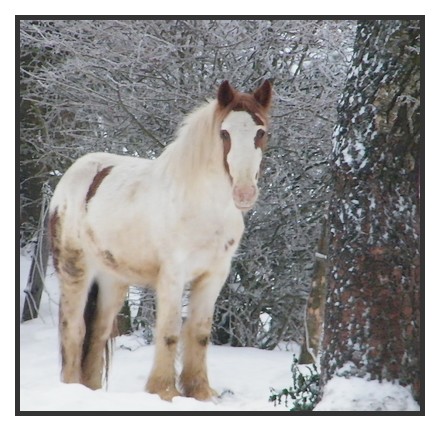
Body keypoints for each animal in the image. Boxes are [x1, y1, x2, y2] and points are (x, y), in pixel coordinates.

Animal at [50, 80, 272, 402]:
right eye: (224, 133)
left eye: (260, 132)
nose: (244, 192)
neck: (202, 204)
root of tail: (73, 175)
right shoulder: (172, 275)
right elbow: (169, 332)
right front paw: (165, 391)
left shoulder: (213, 276)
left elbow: (199, 333)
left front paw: (200, 392)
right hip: (74, 270)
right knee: (74, 331)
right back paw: (70, 390)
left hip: (111, 282)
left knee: (97, 335)